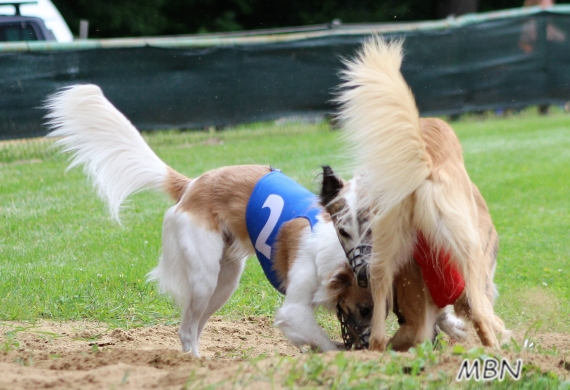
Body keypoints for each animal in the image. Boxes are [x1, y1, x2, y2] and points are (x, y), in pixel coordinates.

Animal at [332, 38, 506, 352]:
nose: (350, 343)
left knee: (380, 336)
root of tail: (423, 166)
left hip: (385, 255)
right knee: (482, 317)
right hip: (469, 259)